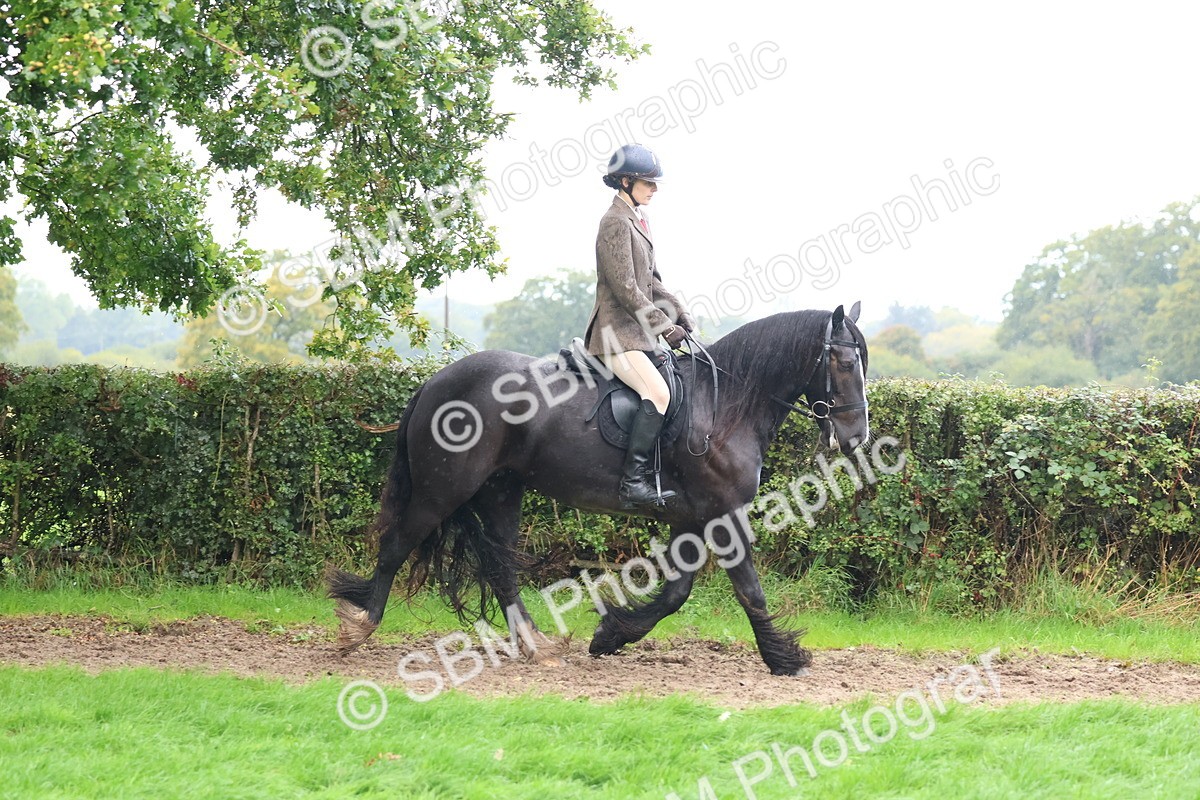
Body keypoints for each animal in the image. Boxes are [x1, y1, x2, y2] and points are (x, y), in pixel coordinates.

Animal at [328, 302, 870, 675]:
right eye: (845, 364)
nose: (857, 438)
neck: (725, 405)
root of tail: (434, 382)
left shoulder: (689, 519)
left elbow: (676, 593)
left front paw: (611, 634)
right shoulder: (723, 515)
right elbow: (750, 590)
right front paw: (783, 659)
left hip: (500, 492)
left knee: (500, 567)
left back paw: (536, 645)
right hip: (441, 491)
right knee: (396, 546)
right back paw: (358, 628)